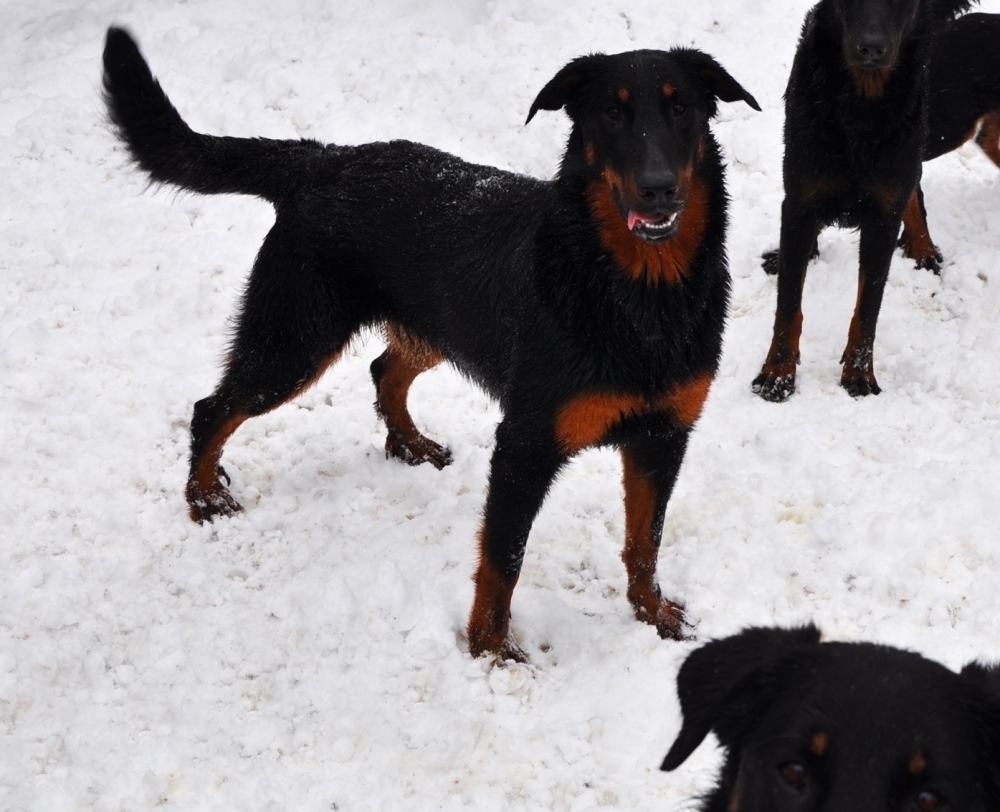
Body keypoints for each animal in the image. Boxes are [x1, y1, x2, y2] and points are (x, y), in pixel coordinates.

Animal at [101, 30, 756, 660]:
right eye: (612, 115)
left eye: (682, 109)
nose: (658, 189)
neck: (638, 291)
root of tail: (323, 160)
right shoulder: (525, 445)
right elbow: (503, 560)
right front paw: (490, 649)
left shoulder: (663, 437)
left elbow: (646, 541)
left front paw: (654, 614)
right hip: (294, 339)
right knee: (213, 408)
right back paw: (204, 497)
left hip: (431, 323)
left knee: (382, 368)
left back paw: (408, 444)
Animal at [752, 0, 976, 402]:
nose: (871, 47)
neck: (861, 101)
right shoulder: (800, 202)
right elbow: (788, 305)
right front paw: (777, 375)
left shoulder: (883, 217)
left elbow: (868, 307)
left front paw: (858, 375)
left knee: (914, 190)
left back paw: (923, 248)